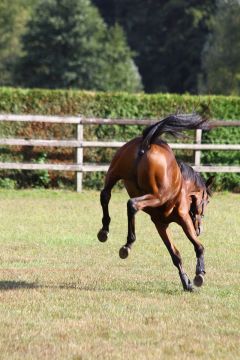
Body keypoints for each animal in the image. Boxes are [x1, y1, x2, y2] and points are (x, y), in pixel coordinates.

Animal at [97, 114, 214, 292]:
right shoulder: (184, 219)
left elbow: (175, 255)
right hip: (157, 195)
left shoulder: (161, 225)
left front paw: (186, 282)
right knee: (132, 204)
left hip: (114, 174)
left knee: (105, 195)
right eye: (206, 201)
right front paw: (199, 274)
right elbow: (199, 246)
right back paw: (128, 244)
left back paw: (104, 231)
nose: (199, 228)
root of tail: (147, 142)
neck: (183, 188)